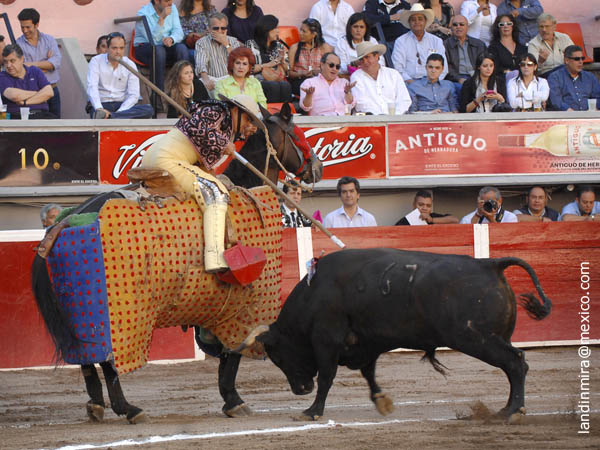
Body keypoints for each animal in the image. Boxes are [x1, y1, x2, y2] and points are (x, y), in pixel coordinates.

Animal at [31, 103, 324, 424]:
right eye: (298, 134)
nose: (317, 167)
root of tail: (66, 221)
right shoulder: (241, 307)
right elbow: (233, 354)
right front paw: (234, 401)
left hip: (80, 317)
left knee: (87, 359)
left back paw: (96, 406)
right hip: (123, 318)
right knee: (110, 362)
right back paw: (129, 408)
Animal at [240, 248, 552, 420]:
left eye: (278, 357)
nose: (301, 389)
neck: (314, 294)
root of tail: (490, 264)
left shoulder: (326, 341)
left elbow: (328, 377)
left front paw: (313, 411)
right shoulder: (367, 343)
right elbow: (369, 374)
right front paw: (382, 402)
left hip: (477, 338)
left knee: (515, 363)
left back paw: (512, 411)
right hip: (491, 338)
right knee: (513, 366)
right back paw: (508, 408)